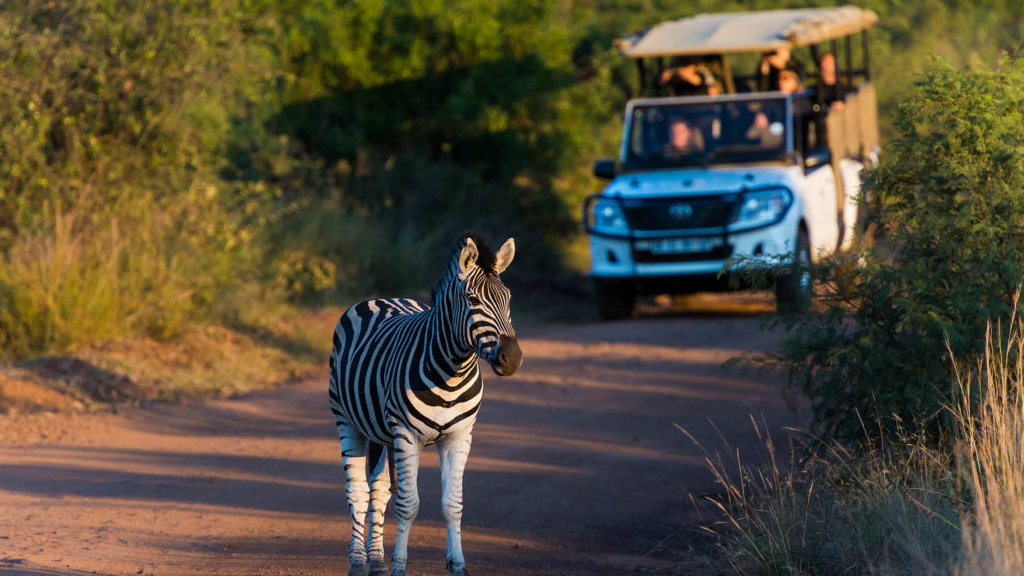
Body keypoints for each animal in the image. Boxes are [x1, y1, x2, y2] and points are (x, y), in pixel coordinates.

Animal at [329, 230, 524, 573]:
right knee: (358, 492)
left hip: (382, 434)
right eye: (473, 300)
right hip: (347, 421)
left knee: (378, 491)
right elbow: (408, 504)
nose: (512, 359)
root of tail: (380, 298)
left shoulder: (459, 437)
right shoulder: (407, 436)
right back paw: (358, 562)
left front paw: (457, 565)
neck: (451, 373)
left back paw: (376, 561)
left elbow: (452, 505)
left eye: (508, 299)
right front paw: (399, 567)